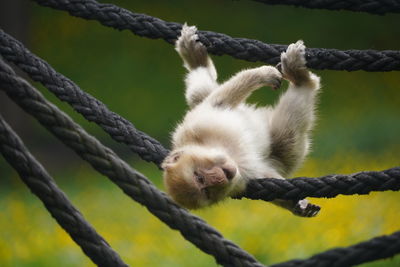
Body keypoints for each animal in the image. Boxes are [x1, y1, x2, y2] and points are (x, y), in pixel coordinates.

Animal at [161, 24, 320, 218]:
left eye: (199, 176)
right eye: (206, 190)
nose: (218, 179)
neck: (221, 149)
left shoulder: (199, 125)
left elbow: (221, 102)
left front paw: (264, 75)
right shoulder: (240, 178)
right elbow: (263, 174)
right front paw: (297, 204)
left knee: (200, 94)